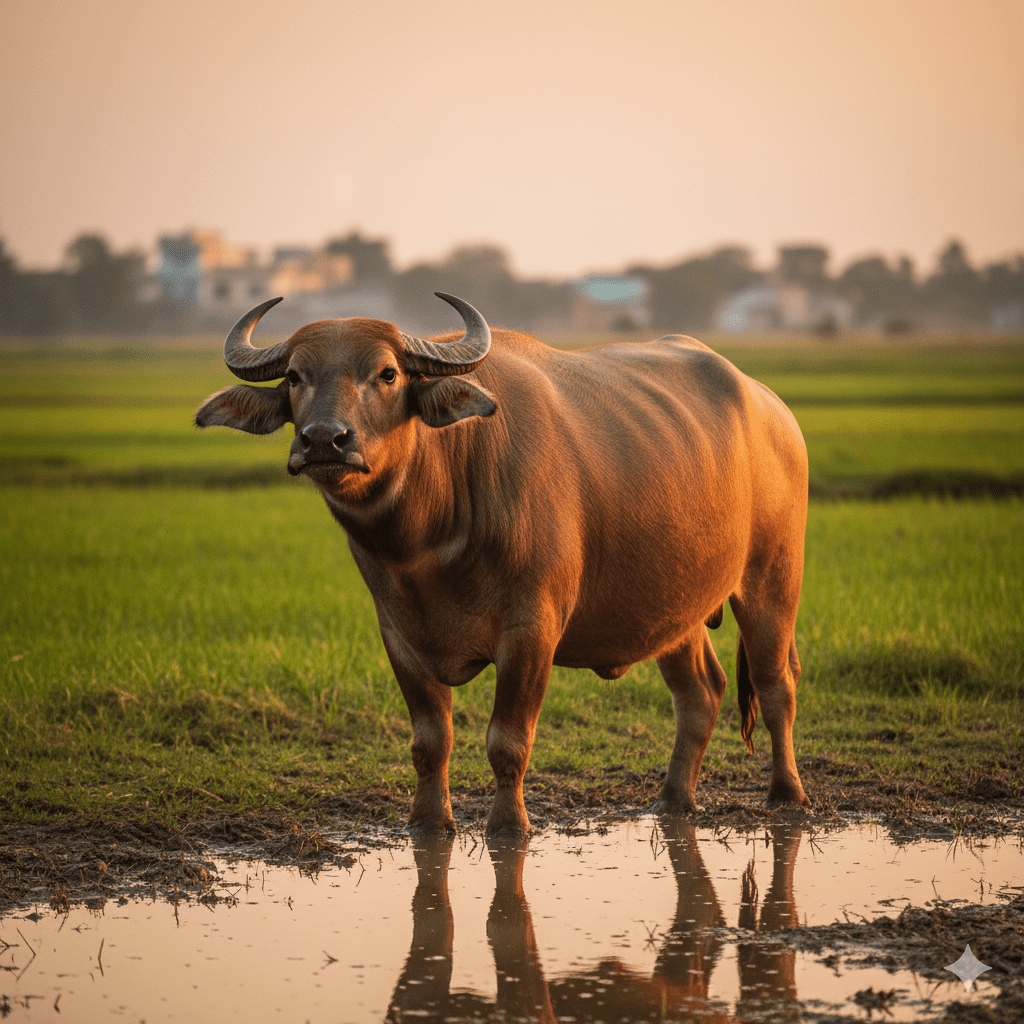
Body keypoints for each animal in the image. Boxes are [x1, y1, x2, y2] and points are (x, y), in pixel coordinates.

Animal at [196, 293, 811, 833]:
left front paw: (509, 826)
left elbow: (507, 741)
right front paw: (428, 823)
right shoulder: (398, 633)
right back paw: (672, 801)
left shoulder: (532, 630)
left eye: (388, 374)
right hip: (675, 605)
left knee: (776, 682)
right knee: (700, 692)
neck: (426, 543)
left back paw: (787, 794)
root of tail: (771, 407)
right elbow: (430, 741)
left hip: (773, 575)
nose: (324, 440)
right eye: (295, 377)